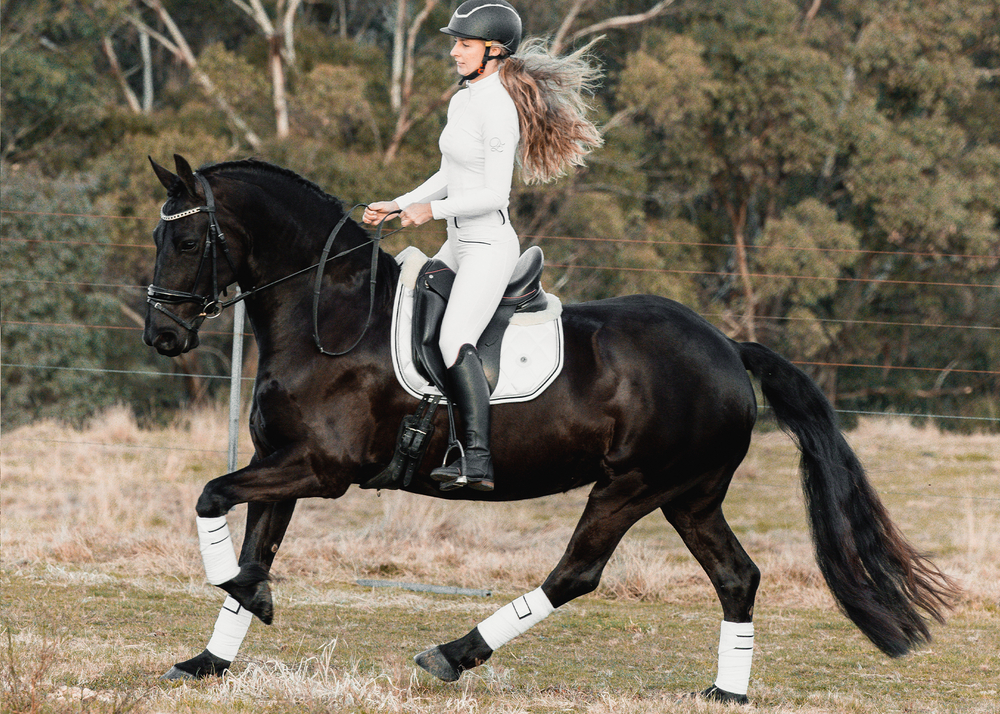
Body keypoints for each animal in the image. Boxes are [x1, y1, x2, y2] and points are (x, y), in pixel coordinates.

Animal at [145, 156, 956, 700]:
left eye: (185, 243)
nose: (163, 336)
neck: (334, 316)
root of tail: (728, 347)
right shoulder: (281, 458)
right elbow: (254, 544)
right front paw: (214, 654)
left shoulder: (322, 468)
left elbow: (212, 499)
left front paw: (246, 599)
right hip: (690, 497)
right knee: (737, 576)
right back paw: (727, 691)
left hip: (631, 487)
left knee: (576, 573)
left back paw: (453, 653)